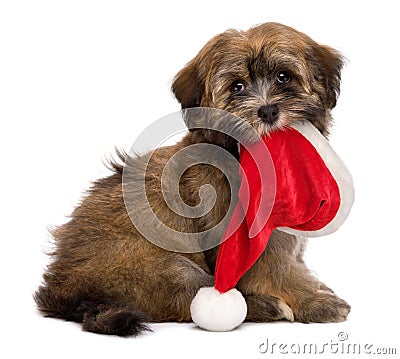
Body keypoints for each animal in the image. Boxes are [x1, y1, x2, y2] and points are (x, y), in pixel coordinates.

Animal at [34, 23, 350, 338]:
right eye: (237, 87)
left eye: (283, 77)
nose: (268, 111)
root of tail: (63, 287)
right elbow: (277, 271)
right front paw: (314, 302)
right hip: (162, 266)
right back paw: (264, 307)